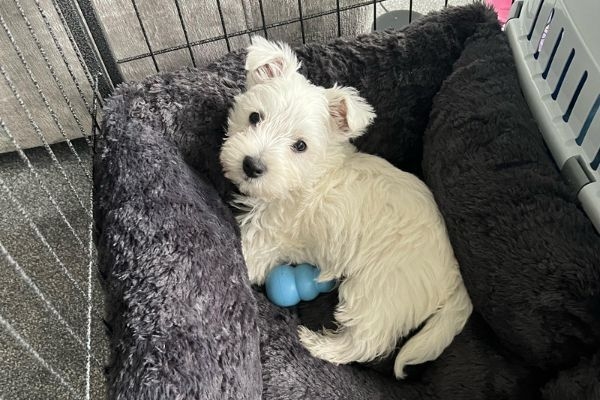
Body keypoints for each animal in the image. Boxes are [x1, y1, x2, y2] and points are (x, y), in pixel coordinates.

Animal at [220, 36, 474, 378]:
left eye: (300, 145)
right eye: (254, 117)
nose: (251, 166)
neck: (310, 176)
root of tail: (456, 278)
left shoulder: (265, 238)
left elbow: (243, 255)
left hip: (376, 291)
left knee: (365, 342)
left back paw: (318, 343)